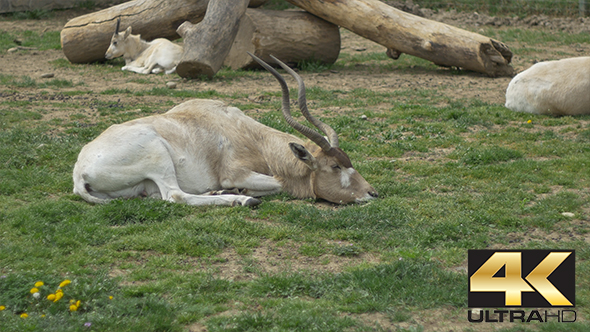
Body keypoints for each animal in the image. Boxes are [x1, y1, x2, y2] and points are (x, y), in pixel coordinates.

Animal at [73, 53, 380, 206]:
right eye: (335, 167)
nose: (372, 193)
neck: (251, 137)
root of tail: (80, 172)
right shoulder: (234, 171)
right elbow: (279, 183)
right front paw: (245, 192)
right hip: (157, 155)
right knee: (174, 196)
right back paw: (242, 200)